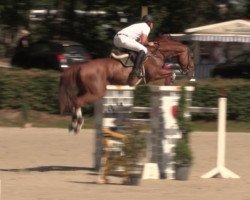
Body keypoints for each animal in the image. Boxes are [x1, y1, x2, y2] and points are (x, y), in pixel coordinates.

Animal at [59, 34, 195, 133]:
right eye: (191, 56)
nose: (191, 73)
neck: (157, 53)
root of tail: (81, 66)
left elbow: (170, 74)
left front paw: (169, 84)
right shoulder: (155, 74)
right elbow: (171, 73)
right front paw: (170, 81)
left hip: (87, 90)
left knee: (74, 101)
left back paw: (73, 124)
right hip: (97, 92)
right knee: (77, 101)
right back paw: (77, 124)